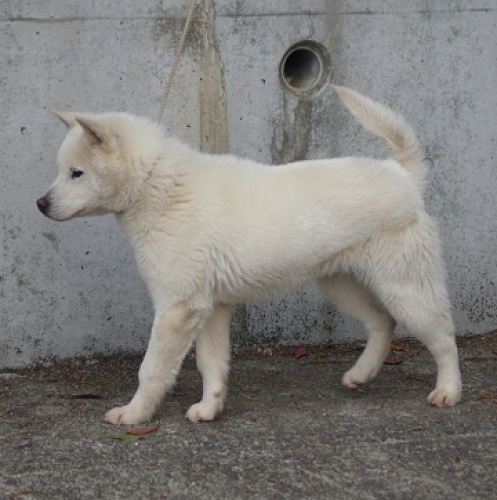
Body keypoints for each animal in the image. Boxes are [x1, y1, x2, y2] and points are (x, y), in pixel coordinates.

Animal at [37, 87, 462, 426]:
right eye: (62, 171)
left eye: (76, 173)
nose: (40, 204)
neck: (157, 185)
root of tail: (402, 174)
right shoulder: (208, 308)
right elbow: (212, 365)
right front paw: (210, 408)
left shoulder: (177, 309)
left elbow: (152, 369)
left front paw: (135, 414)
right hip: (341, 284)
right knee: (382, 323)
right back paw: (361, 374)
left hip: (406, 288)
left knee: (443, 336)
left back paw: (449, 391)